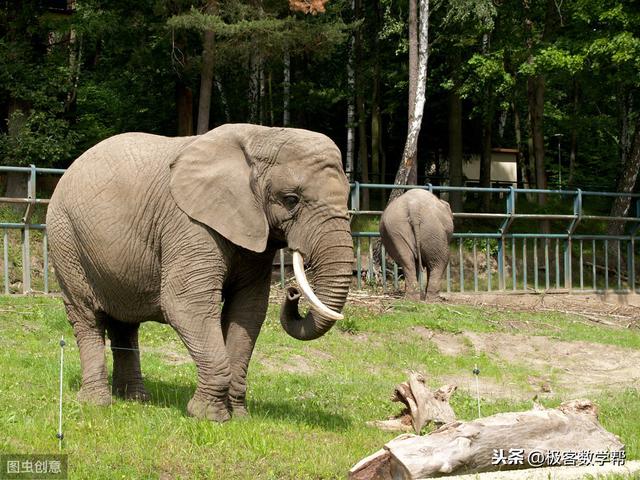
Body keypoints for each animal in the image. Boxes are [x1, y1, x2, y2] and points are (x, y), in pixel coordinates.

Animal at [47, 124, 352, 424]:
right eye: (291, 199)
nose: (292, 292)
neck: (262, 135)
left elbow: (248, 311)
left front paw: (239, 417)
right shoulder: (189, 224)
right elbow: (185, 304)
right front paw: (209, 417)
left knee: (125, 324)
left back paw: (136, 400)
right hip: (65, 238)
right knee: (87, 317)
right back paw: (96, 403)